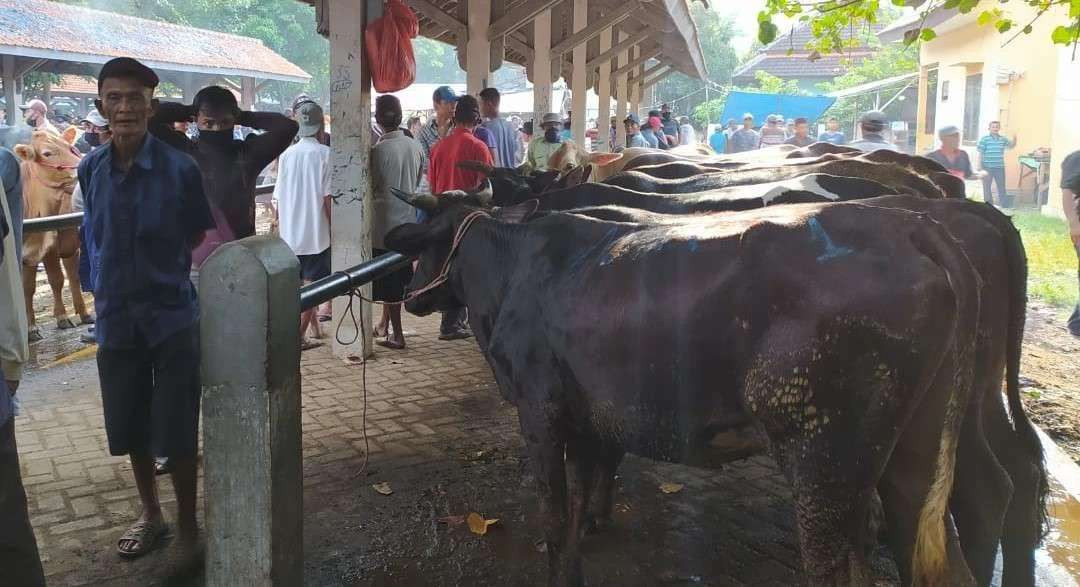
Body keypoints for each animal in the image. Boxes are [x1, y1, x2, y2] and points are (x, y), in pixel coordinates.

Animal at [14, 128, 92, 338]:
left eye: (70, 147)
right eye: (47, 153)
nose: (81, 166)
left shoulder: (49, 247)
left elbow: (56, 280)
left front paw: (62, 317)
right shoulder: (28, 254)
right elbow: (26, 287)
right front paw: (31, 328)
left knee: (73, 275)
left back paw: (84, 313)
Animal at [388, 194, 980, 587]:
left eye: (421, 245)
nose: (409, 293)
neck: (512, 273)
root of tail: (908, 226)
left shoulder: (540, 411)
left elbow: (555, 518)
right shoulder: (586, 420)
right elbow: (579, 504)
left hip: (823, 458)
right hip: (909, 461)